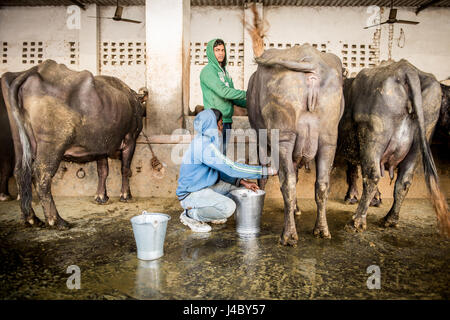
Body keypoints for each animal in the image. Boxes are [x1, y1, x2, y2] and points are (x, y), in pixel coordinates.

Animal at [1, 60, 146, 229]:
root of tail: (35, 69)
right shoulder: (131, 139)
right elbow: (125, 169)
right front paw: (126, 195)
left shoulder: (100, 146)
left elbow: (103, 171)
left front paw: (101, 197)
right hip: (52, 145)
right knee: (41, 176)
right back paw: (56, 220)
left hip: (20, 143)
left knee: (20, 173)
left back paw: (31, 218)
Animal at [246, 8, 344, 248]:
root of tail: (310, 62)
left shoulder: (261, 139)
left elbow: (265, 172)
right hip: (328, 139)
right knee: (322, 184)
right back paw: (321, 229)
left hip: (283, 137)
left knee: (287, 182)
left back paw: (288, 235)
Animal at [340, 59, 448, 235]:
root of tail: (406, 69)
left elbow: (353, 171)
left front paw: (353, 197)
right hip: (419, 144)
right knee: (404, 181)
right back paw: (390, 219)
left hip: (373, 138)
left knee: (372, 176)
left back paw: (356, 221)